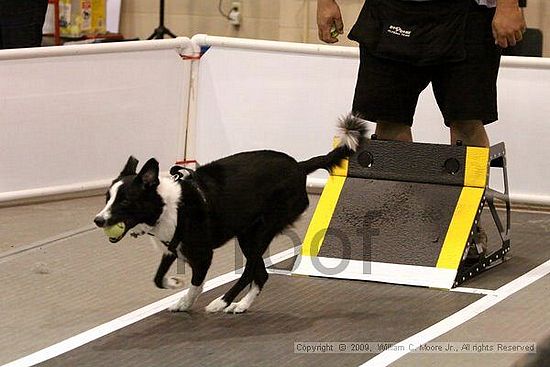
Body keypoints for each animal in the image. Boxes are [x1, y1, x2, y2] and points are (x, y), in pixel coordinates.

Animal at [94, 116, 368, 314]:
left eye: (125, 201)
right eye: (107, 198)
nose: (98, 220)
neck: (168, 206)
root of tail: (300, 167)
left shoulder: (203, 254)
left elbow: (196, 283)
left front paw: (186, 300)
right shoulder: (171, 248)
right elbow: (158, 278)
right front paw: (174, 285)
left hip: (260, 232)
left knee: (252, 270)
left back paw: (223, 302)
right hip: (249, 233)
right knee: (260, 273)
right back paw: (240, 305)